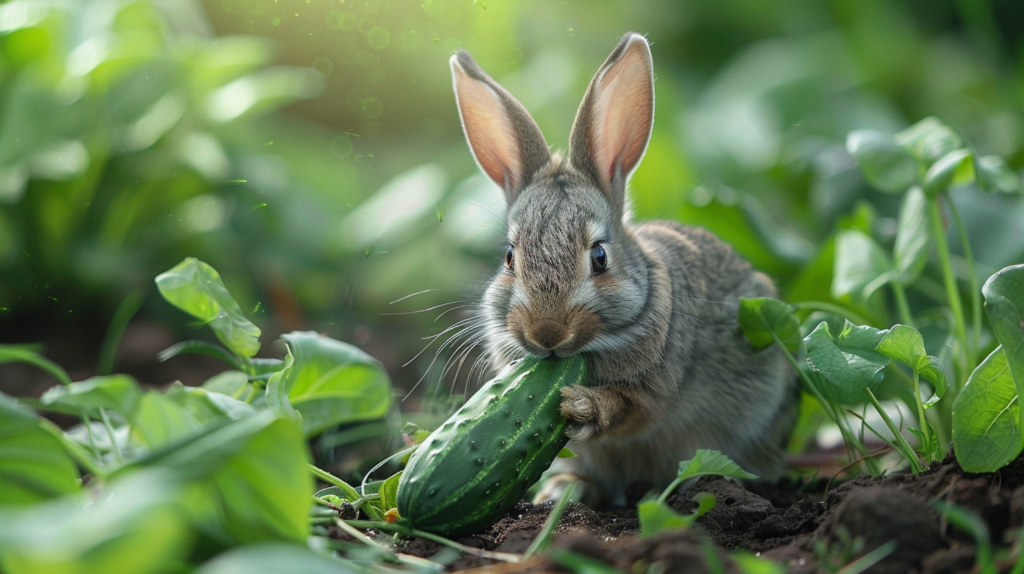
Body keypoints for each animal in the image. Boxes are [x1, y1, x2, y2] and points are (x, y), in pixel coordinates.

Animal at [450, 32, 798, 505]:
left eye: (599, 257)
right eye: (509, 257)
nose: (546, 334)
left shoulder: (656, 391)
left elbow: (628, 411)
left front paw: (581, 406)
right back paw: (563, 490)